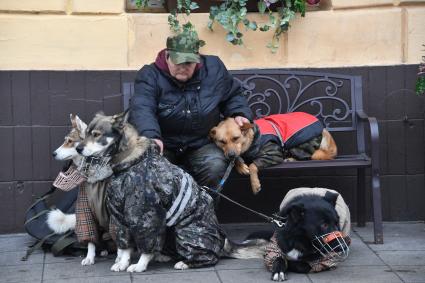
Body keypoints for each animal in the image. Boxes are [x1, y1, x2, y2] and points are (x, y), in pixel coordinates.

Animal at [74, 112, 264, 274]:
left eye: (97, 134)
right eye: (86, 134)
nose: (78, 148)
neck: (129, 162)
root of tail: (224, 241)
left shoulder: (147, 213)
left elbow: (146, 244)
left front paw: (139, 265)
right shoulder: (120, 216)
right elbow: (124, 246)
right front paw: (122, 263)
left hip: (186, 231)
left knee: (211, 257)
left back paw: (186, 262)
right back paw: (163, 256)